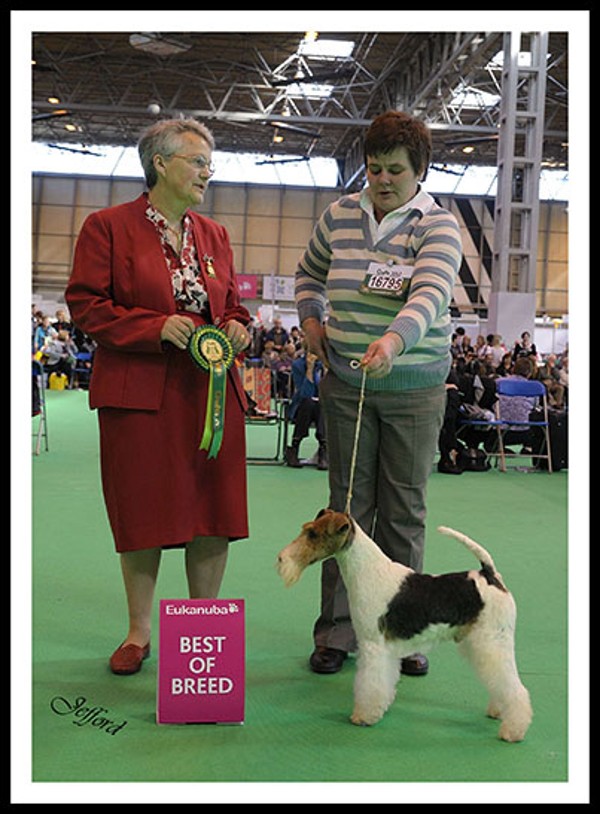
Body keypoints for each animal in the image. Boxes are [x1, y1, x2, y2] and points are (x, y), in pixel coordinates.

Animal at [276, 509, 532, 742]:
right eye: (307, 529)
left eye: (312, 534)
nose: (280, 559)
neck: (367, 570)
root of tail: (490, 575)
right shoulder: (386, 648)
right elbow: (385, 680)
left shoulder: (372, 644)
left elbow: (369, 683)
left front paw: (364, 716)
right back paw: (498, 711)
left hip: (492, 641)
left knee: (515, 687)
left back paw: (512, 730)